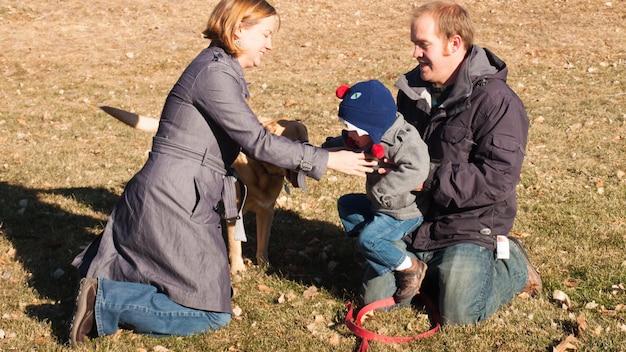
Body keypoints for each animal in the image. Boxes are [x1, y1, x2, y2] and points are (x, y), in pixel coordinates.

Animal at [98, 106, 308, 274]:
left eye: (307, 141)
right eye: (292, 145)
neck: (261, 169)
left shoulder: (266, 210)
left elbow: (263, 242)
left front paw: (263, 265)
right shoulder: (234, 211)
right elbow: (235, 245)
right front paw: (237, 269)